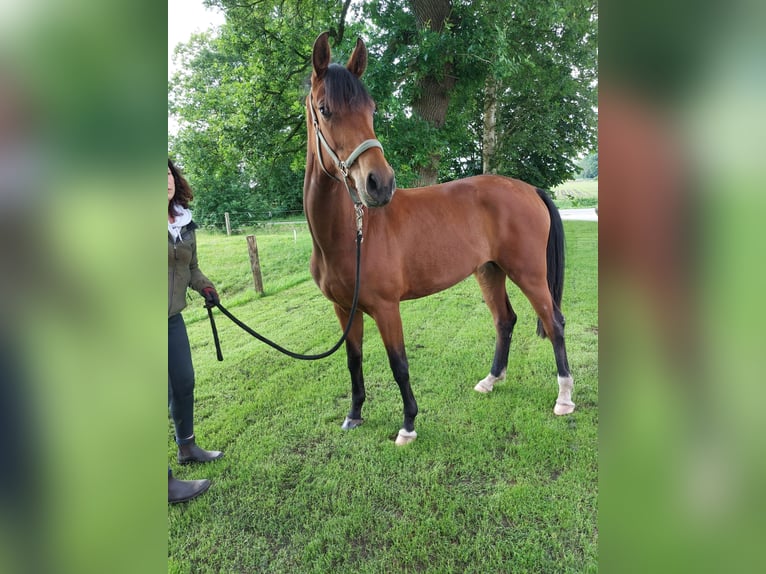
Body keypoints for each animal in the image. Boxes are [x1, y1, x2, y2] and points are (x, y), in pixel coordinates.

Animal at [304, 31, 572, 448]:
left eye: (371, 109)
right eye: (325, 109)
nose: (379, 183)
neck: (351, 233)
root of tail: (528, 189)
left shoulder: (386, 308)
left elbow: (398, 364)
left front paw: (408, 425)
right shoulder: (344, 310)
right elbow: (353, 361)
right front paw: (354, 415)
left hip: (528, 273)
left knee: (554, 322)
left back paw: (564, 398)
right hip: (489, 271)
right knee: (505, 320)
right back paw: (490, 380)